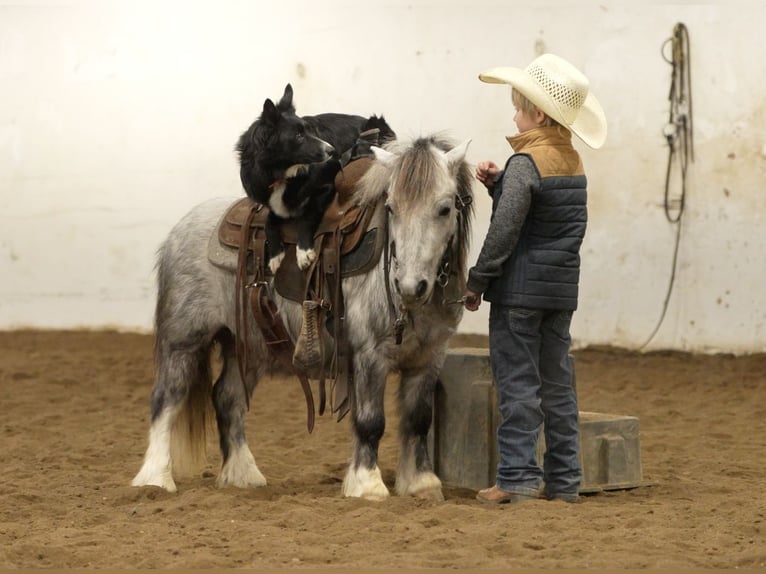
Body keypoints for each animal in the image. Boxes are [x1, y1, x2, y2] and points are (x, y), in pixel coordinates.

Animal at [131, 134, 474, 500]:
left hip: (248, 348)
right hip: (183, 342)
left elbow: (418, 419)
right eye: (392, 208)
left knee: (227, 398)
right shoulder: (371, 355)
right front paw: (367, 484)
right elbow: (371, 421)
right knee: (166, 400)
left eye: (444, 209)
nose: (410, 286)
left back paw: (242, 473)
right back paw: (155, 478)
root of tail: (180, 229)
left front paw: (421, 483)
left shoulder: (428, 358)